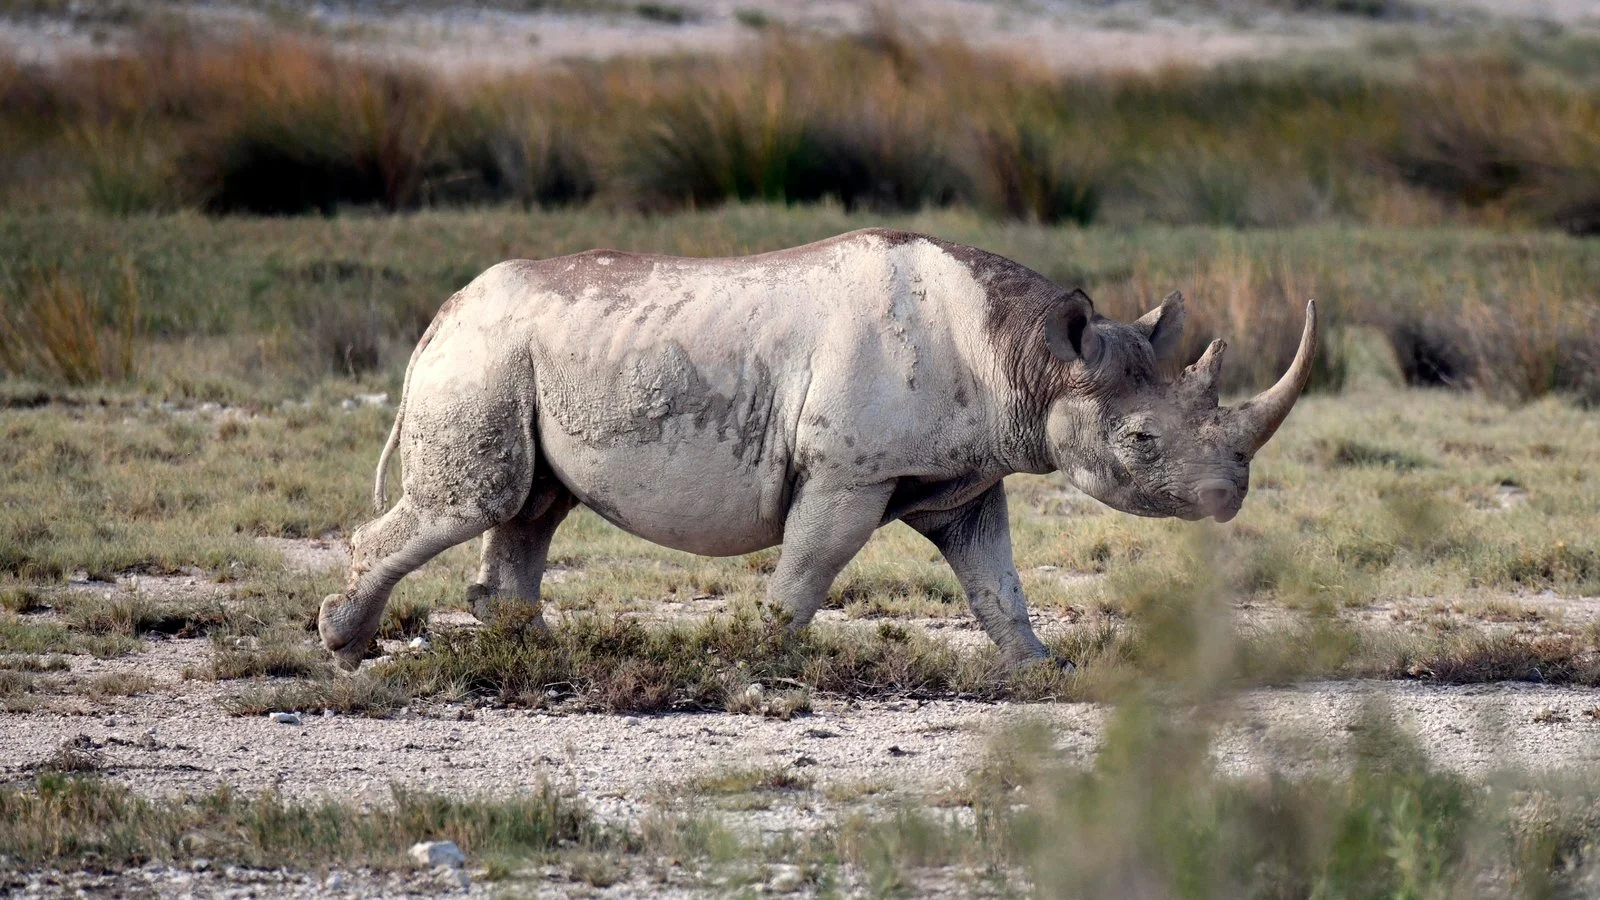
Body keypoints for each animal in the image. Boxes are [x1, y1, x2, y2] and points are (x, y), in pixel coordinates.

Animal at [318, 228, 1316, 670]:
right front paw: (764, 658)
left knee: (534, 505)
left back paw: (528, 649)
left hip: (527, 352)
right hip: (484, 355)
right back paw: (347, 646)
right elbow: (811, 566)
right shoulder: (849, 469)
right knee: (477, 501)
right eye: (1142, 441)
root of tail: (441, 314)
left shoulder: (962, 477)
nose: (1229, 497)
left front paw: (1039, 669)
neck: (1029, 357)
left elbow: (996, 577)